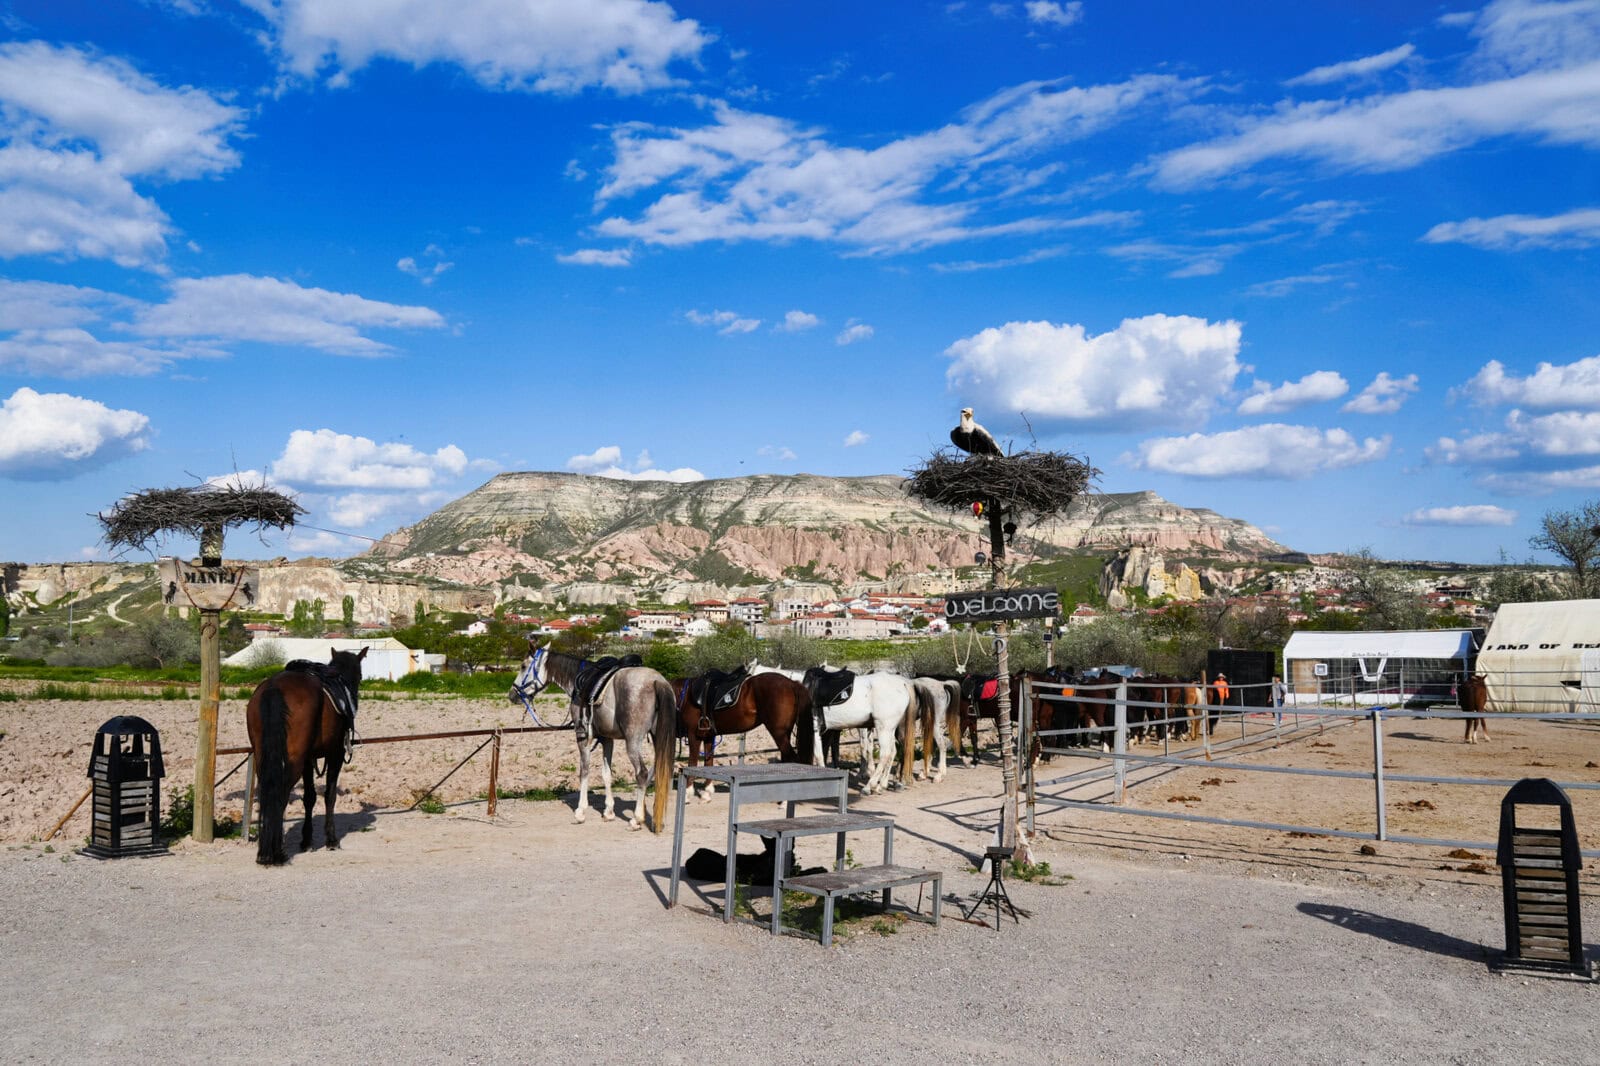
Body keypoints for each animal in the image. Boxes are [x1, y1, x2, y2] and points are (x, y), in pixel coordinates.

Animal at [246, 647, 367, 866]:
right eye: (360, 676)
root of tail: (274, 687)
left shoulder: (308, 759)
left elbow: (309, 797)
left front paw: (307, 840)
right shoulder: (336, 754)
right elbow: (329, 795)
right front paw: (331, 840)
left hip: (264, 757)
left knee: (268, 793)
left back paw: (265, 850)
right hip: (295, 760)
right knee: (281, 795)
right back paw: (276, 853)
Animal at [508, 641, 675, 831]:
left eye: (523, 666)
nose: (512, 694)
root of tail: (656, 680)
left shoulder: (582, 736)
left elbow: (584, 770)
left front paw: (580, 811)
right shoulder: (607, 739)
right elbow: (607, 774)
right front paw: (608, 811)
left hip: (633, 741)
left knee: (642, 773)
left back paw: (636, 819)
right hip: (657, 738)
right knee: (658, 771)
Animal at [676, 670, 810, 799]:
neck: (685, 695)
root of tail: (792, 683)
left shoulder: (694, 735)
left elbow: (692, 763)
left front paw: (687, 793)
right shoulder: (708, 736)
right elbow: (708, 763)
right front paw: (707, 792)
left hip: (779, 734)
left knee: (793, 760)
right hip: (785, 734)